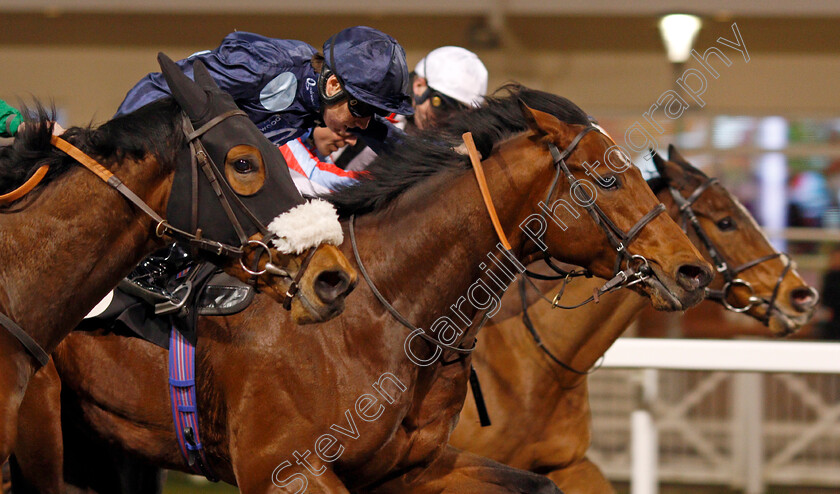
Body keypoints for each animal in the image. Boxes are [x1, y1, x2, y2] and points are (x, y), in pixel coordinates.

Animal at [21, 87, 716, 492]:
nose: (691, 271)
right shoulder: (286, 468)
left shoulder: (414, 467)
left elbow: (538, 484)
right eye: (607, 179)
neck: (381, 316)